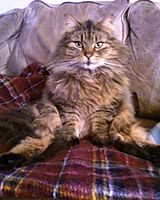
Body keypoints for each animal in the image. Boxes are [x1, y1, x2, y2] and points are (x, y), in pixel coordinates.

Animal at [0, 14, 160, 170]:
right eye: (79, 44)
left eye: (98, 44)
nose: (88, 55)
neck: (89, 78)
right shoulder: (68, 106)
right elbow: (71, 123)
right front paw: (72, 139)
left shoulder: (105, 107)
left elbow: (100, 124)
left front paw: (100, 140)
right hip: (48, 121)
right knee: (35, 142)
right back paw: (9, 160)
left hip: (121, 120)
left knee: (131, 140)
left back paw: (153, 153)